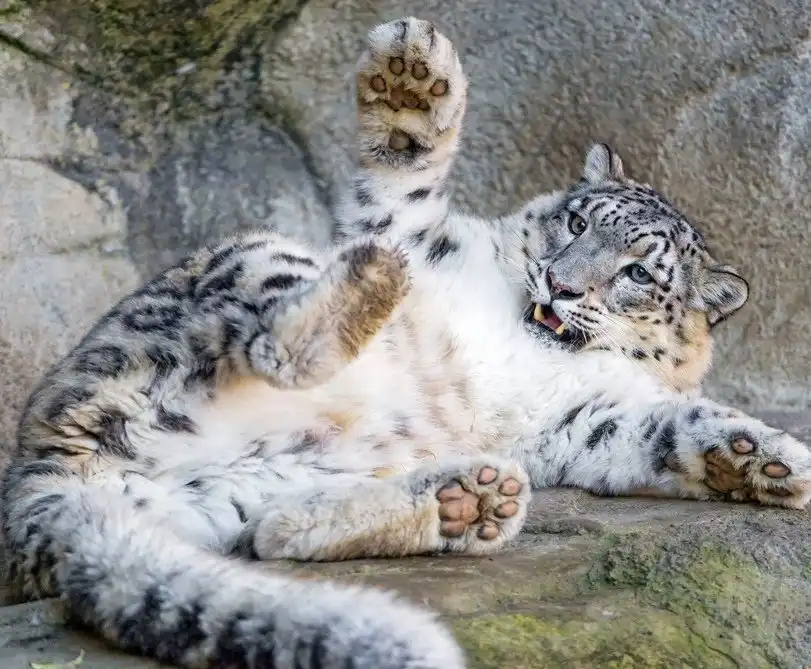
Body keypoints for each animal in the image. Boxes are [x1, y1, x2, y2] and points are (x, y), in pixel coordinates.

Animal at [3, 16, 810, 669]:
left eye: (637, 271)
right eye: (579, 222)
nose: (561, 284)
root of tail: (43, 474)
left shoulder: (583, 416)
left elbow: (667, 428)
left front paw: (764, 460)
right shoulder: (408, 233)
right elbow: (404, 170)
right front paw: (412, 76)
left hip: (247, 487)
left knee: (271, 532)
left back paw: (466, 502)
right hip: (248, 263)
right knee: (276, 337)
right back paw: (372, 295)